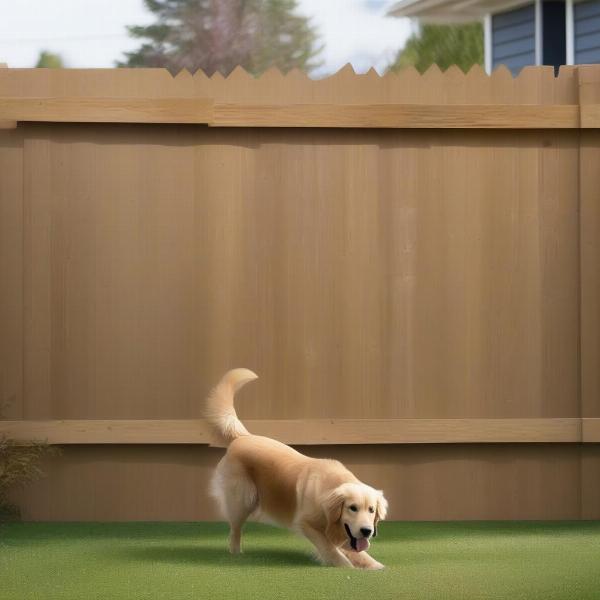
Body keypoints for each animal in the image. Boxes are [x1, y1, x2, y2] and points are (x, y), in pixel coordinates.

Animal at [204, 368, 386, 568]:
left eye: (371, 510)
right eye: (352, 508)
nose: (367, 531)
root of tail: (242, 437)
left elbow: (358, 552)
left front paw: (376, 567)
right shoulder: (306, 523)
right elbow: (331, 549)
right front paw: (345, 566)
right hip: (243, 500)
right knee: (235, 530)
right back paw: (236, 554)